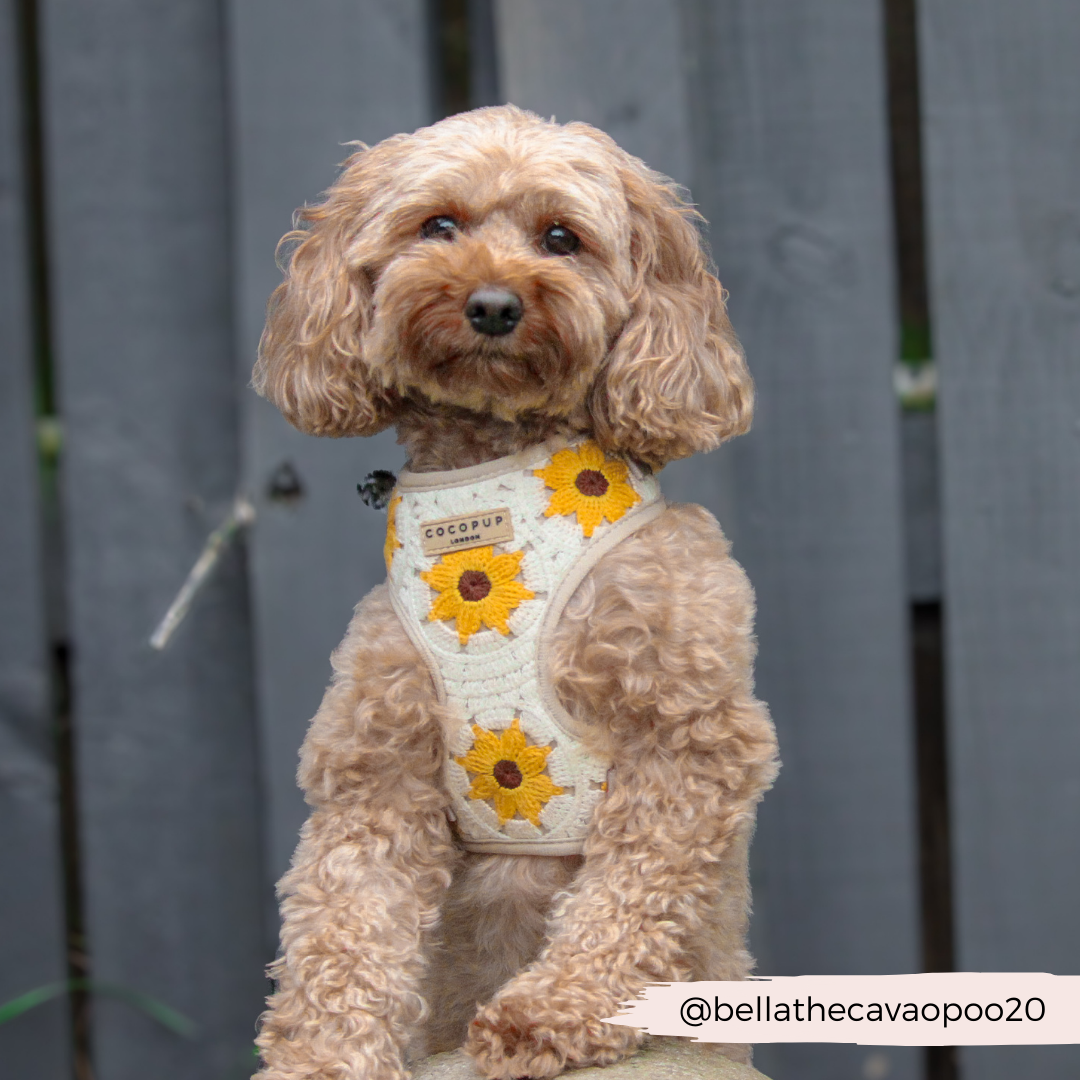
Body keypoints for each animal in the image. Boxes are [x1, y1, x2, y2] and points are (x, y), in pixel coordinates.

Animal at [252, 103, 777, 1080]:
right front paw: (323, 1058)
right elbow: (343, 926)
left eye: (561, 238)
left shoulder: (690, 734)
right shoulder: (374, 766)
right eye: (439, 225)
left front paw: (553, 1009)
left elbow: (631, 892)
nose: (493, 305)